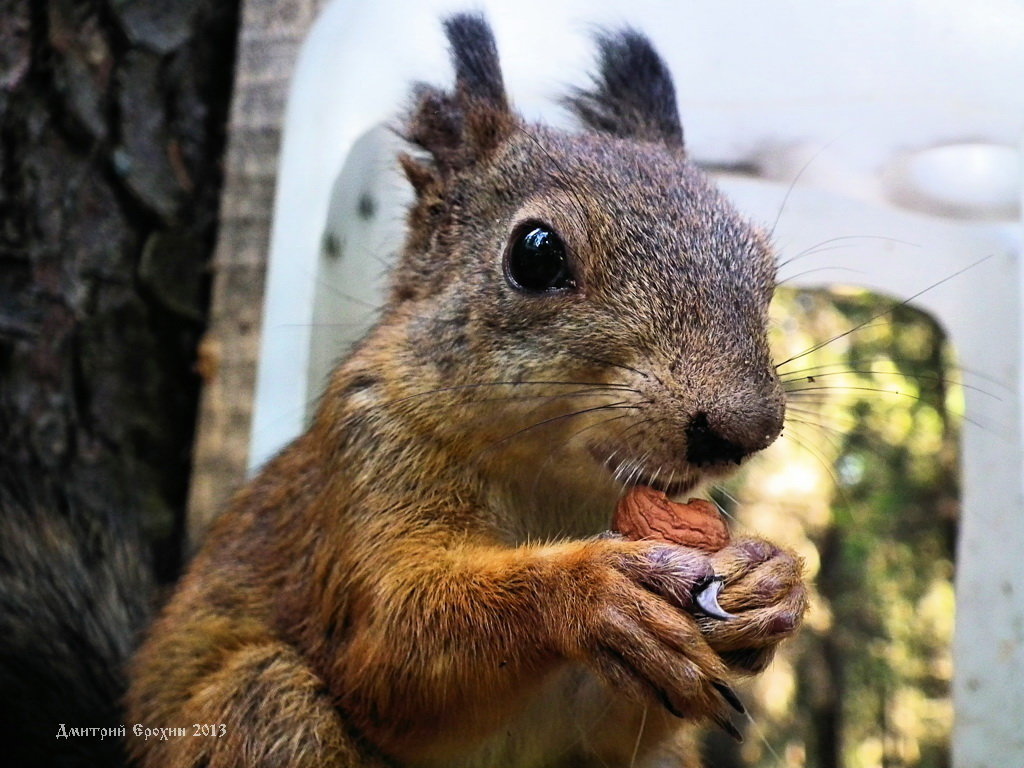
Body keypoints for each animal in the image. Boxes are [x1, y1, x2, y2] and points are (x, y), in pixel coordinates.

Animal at [0, 12, 802, 768]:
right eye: (536, 255)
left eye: (764, 270)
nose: (743, 430)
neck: (556, 484)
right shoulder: (366, 463)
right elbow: (394, 653)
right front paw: (591, 591)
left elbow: (612, 729)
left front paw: (774, 584)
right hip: (265, 707)